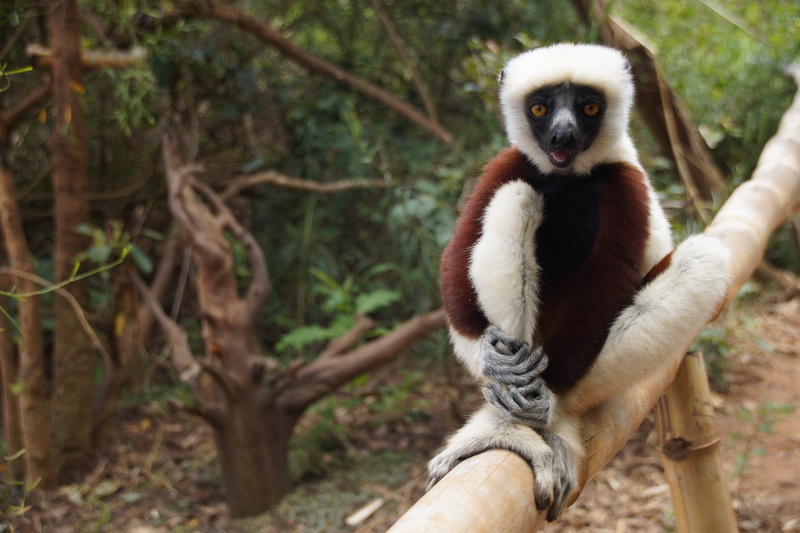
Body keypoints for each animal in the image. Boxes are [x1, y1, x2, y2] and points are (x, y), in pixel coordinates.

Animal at [426, 43, 731, 521]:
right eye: (540, 108)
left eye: (589, 108)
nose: (562, 138)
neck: (569, 179)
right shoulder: (508, 161)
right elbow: (456, 258)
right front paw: (492, 359)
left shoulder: (626, 185)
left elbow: (610, 280)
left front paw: (544, 397)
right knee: (518, 196)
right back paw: (508, 419)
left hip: (590, 370)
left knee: (705, 260)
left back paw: (544, 414)